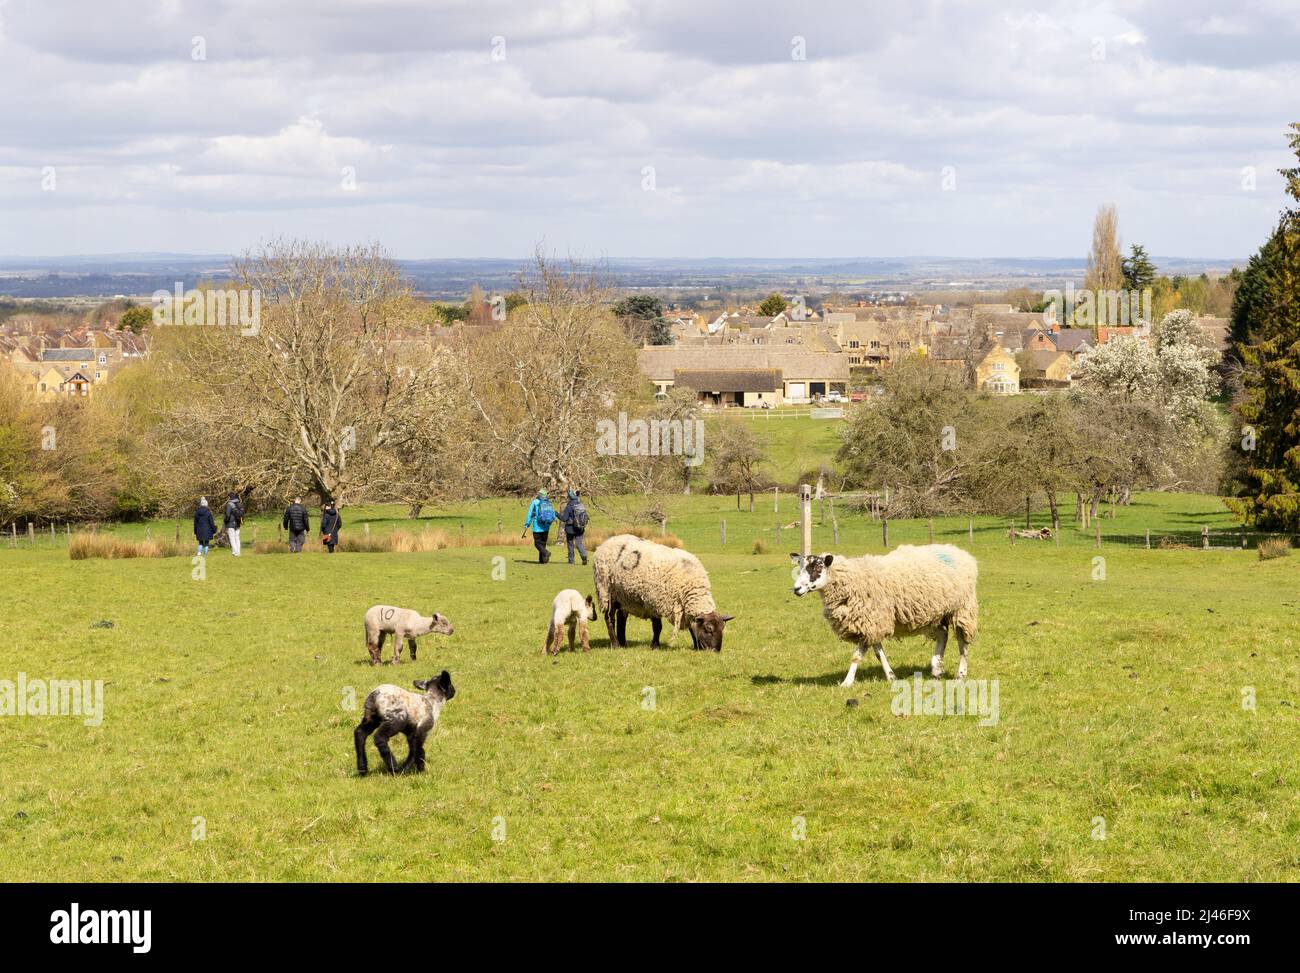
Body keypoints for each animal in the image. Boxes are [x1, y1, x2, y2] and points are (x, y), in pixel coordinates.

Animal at [593, 534, 734, 651]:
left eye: (722, 629)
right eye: (708, 629)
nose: (715, 651)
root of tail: (606, 542)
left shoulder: (683, 607)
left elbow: (691, 627)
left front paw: (696, 646)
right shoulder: (654, 602)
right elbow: (657, 627)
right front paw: (655, 646)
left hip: (623, 596)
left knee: (622, 618)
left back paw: (623, 643)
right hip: (606, 592)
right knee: (609, 618)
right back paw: (616, 644)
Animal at [791, 544, 978, 686]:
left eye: (817, 567)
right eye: (800, 568)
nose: (796, 589)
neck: (851, 578)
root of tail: (959, 552)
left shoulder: (870, 621)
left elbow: (856, 656)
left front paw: (847, 682)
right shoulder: (872, 623)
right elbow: (878, 653)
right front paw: (891, 676)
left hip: (962, 608)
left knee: (962, 643)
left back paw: (960, 674)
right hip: (936, 614)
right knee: (943, 635)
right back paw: (936, 668)